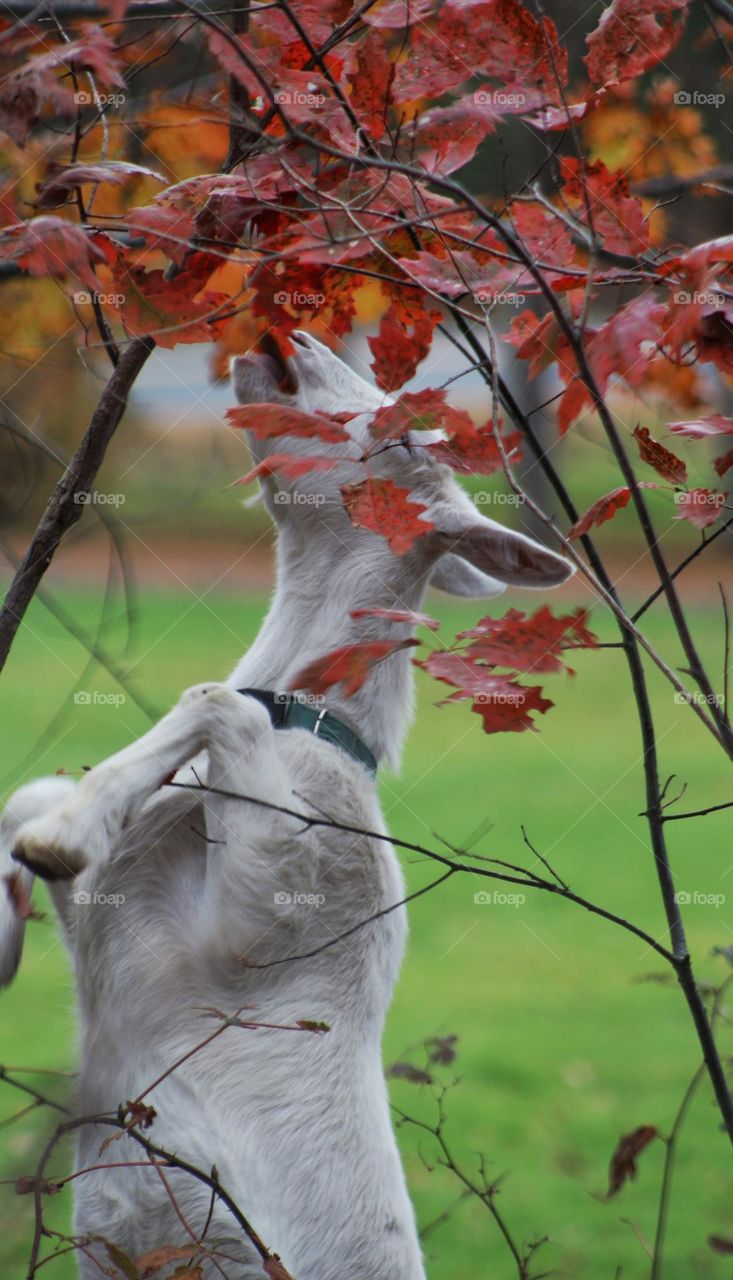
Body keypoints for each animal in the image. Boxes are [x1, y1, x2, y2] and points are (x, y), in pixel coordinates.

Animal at [0, 335, 570, 1280]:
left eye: (404, 434)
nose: (293, 339)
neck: (312, 726)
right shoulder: (103, 923)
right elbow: (27, 793)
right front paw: (14, 924)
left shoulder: (284, 915)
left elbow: (214, 702)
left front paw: (62, 833)